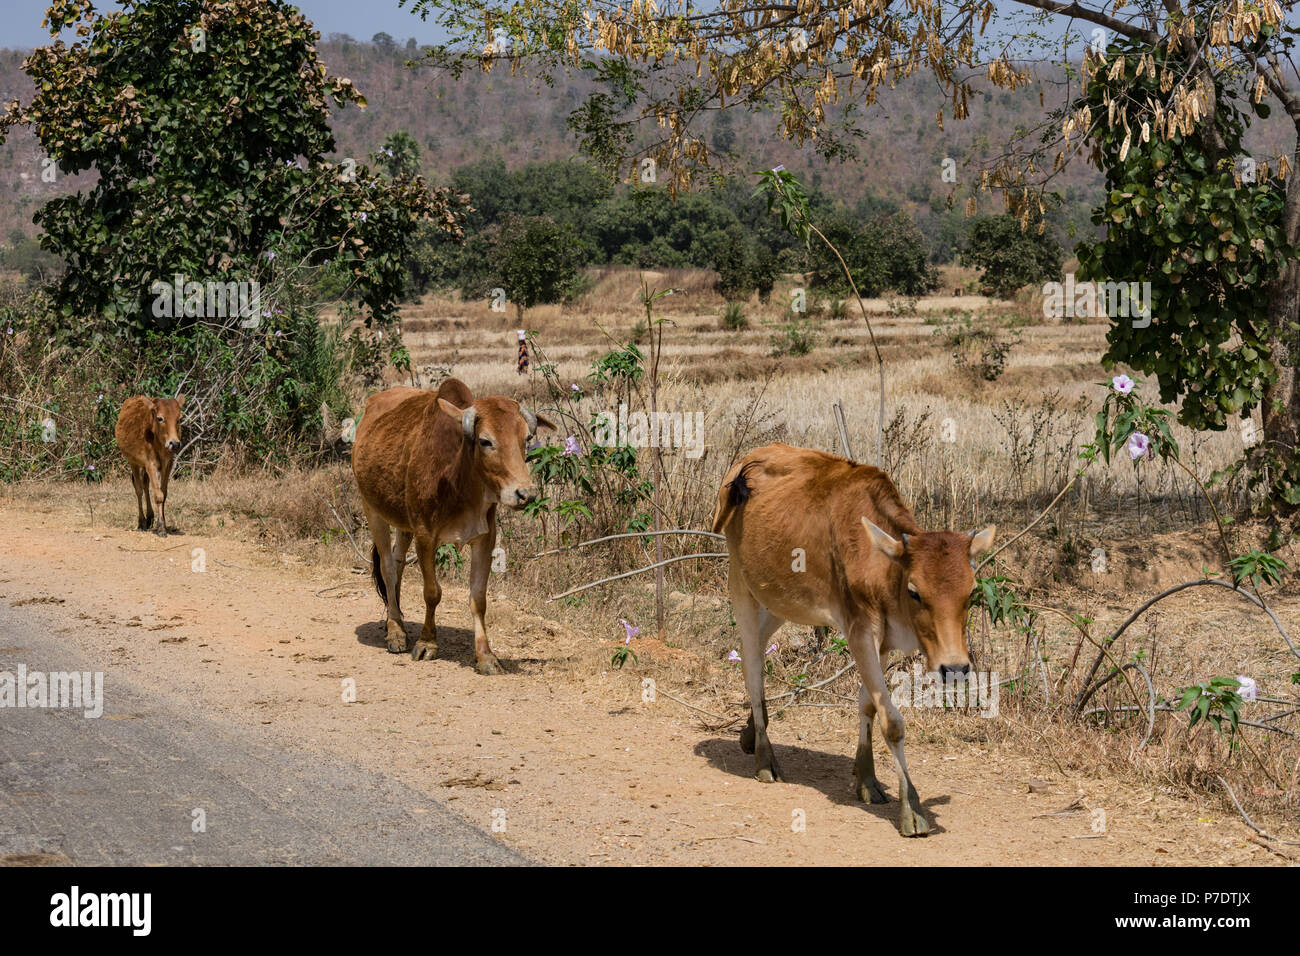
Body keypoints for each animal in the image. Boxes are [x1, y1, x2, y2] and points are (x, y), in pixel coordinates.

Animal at [115, 392, 185, 535]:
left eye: (179, 419)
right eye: (160, 418)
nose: (174, 443)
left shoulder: (167, 464)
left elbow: (164, 493)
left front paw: (162, 522)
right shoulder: (150, 464)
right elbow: (158, 495)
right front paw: (161, 528)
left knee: (145, 485)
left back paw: (149, 518)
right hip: (133, 462)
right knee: (139, 489)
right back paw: (141, 522)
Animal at [353, 377, 556, 676]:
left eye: (526, 440)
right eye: (485, 441)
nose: (525, 494)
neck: (458, 477)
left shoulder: (485, 538)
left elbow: (478, 599)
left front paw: (485, 656)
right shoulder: (425, 536)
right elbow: (432, 592)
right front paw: (427, 643)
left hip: (403, 523)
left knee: (398, 563)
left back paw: (398, 617)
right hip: (372, 509)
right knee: (388, 569)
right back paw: (395, 631)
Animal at [712, 442, 993, 837]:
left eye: (971, 592)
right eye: (914, 591)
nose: (954, 668)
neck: (881, 565)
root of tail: (745, 461)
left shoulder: (882, 641)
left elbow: (869, 706)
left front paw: (867, 779)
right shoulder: (861, 631)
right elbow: (892, 721)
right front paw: (912, 808)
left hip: (779, 601)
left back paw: (750, 734)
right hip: (742, 586)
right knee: (752, 666)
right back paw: (765, 758)